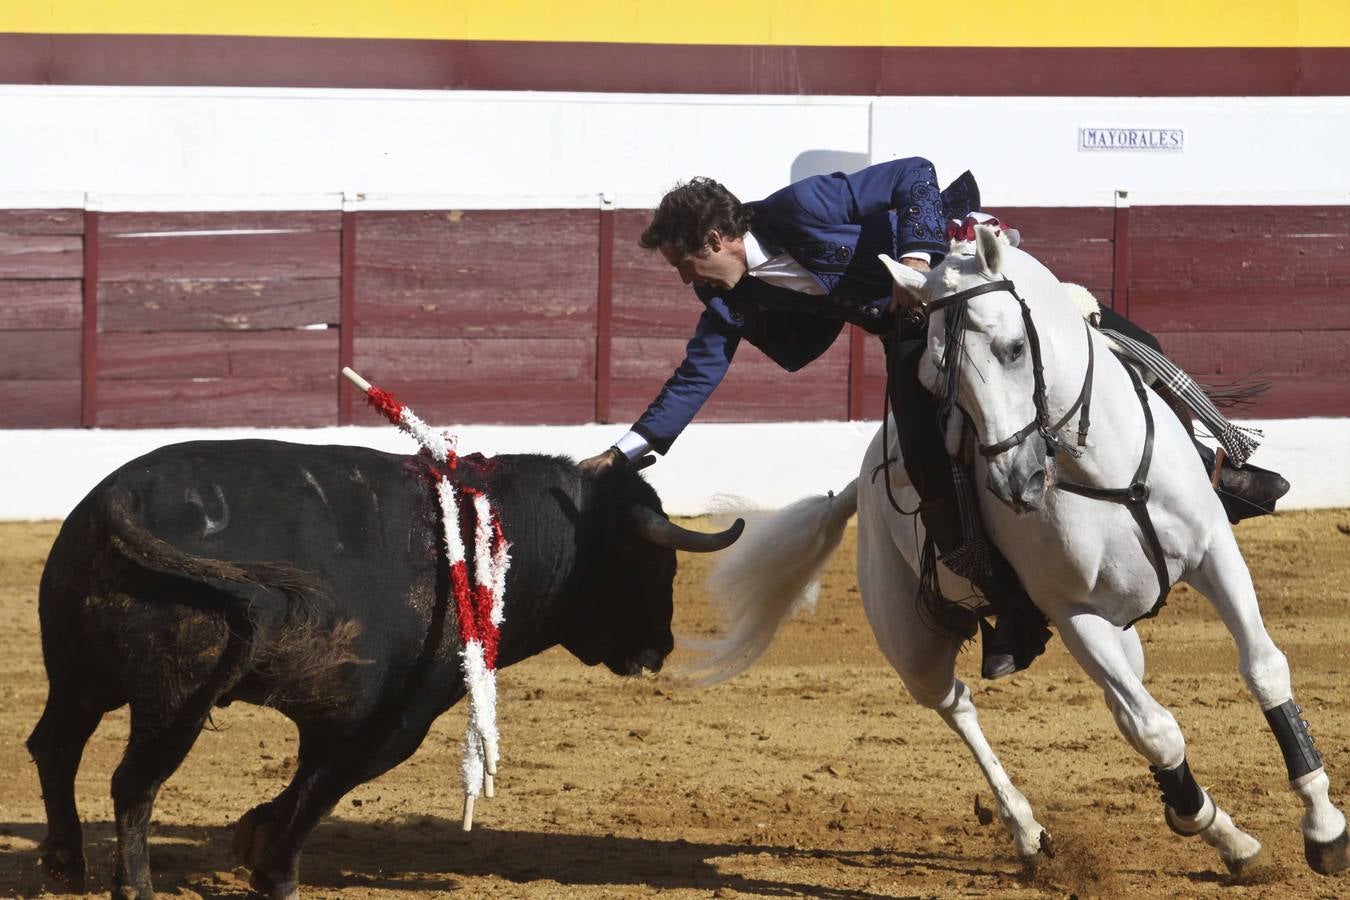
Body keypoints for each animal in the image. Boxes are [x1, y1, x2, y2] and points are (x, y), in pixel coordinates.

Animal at [26, 439, 739, 895]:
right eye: (655, 565)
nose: (657, 650)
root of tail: (122, 499)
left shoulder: (337, 715)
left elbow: (306, 782)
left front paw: (254, 837)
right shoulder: (399, 719)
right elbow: (325, 789)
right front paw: (276, 874)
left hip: (78, 677)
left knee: (55, 746)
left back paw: (63, 861)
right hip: (177, 699)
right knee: (134, 783)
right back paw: (134, 886)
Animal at [696, 225, 1350, 879]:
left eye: (1015, 349)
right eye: (932, 379)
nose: (1017, 483)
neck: (1099, 469)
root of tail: (859, 483)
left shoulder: (1216, 553)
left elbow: (1264, 668)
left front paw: (1323, 827)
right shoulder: (1072, 612)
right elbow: (1154, 729)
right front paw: (1207, 821)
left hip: (1117, 628)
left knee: (1116, 696)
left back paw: (1219, 833)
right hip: (912, 647)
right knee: (959, 705)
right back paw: (1031, 831)